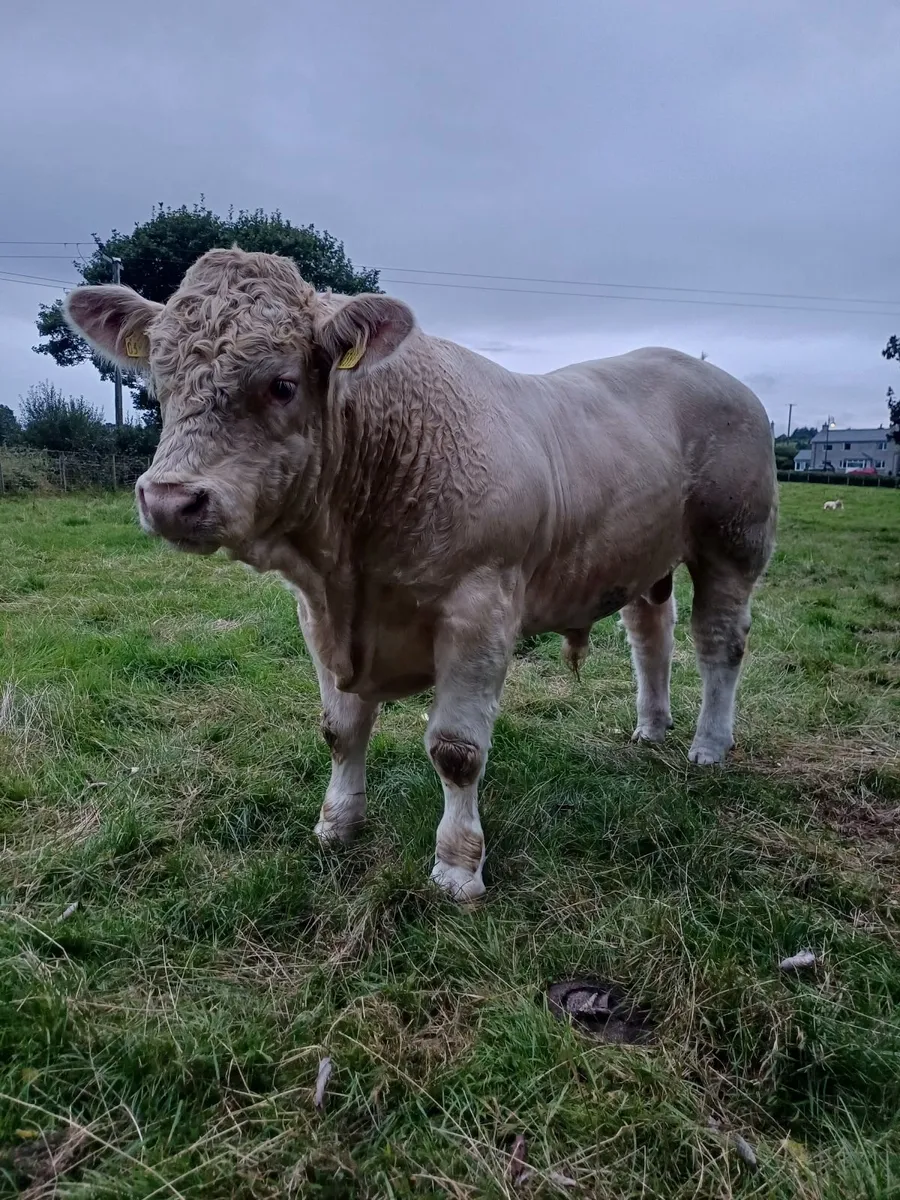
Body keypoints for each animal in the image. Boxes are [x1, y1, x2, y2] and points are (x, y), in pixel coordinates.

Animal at [64, 249, 778, 903]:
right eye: (159, 380)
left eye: (282, 384)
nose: (168, 499)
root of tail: (711, 372)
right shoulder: (316, 613)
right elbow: (341, 730)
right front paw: (337, 824)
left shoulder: (479, 608)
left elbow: (456, 750)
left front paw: (458, 867)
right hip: (643, 554)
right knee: (651, 632)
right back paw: (651, 727)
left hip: (733, 541)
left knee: (719, 643)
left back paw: (709, 745)